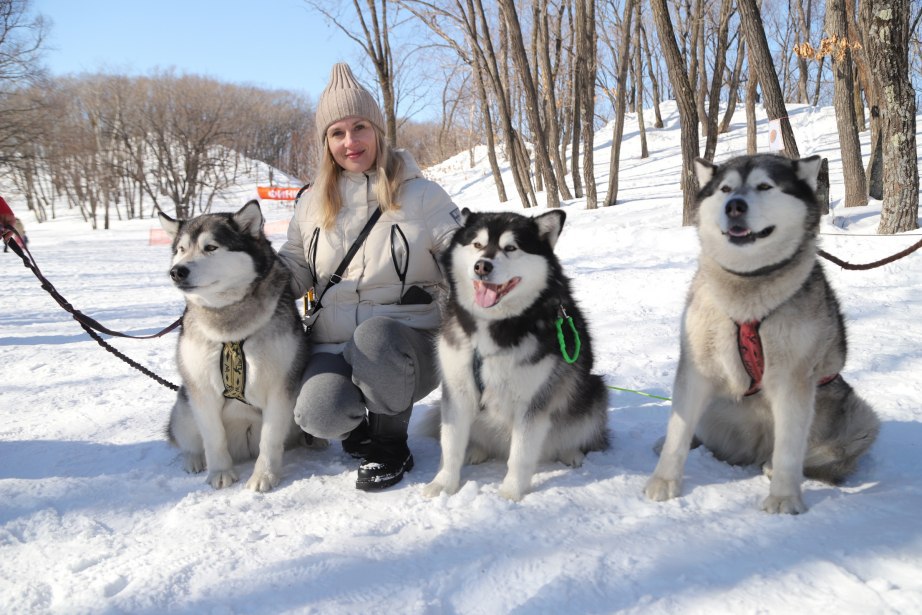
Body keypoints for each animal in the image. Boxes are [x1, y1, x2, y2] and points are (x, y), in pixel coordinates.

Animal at [159, 203, 312, 496]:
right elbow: (213, 438)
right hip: (184, 405)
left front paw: (264, 475)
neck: (230, 328)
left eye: (210, 247)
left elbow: (270, 439)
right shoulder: (202, 392)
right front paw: (220, 473)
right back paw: (194, 459)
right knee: (188, 441)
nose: (176, 271)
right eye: (181, 249)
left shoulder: (280, 388)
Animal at [420, 209, 608, 502]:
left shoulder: (533, 400)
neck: (493, 325)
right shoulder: (457, 390)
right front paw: (444, 483)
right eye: (477, 244)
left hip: (594, 392)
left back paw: (571, 452)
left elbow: (520, 455)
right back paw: (476, 450)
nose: (482, 266)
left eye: (510, 248)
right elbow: (450, 445)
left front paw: (511, 492)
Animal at [644, 155, 880, 516]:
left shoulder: (792, 377)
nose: (734, 206)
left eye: (765, 186)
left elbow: (789, 448)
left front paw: (784, 497)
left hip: (860, 416)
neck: (747, 287)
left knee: (824, 454)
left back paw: (782, 466)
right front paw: (664, 481)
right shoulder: (695, 368)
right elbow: (678, 430)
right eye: (725, 189)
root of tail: (754, 448)